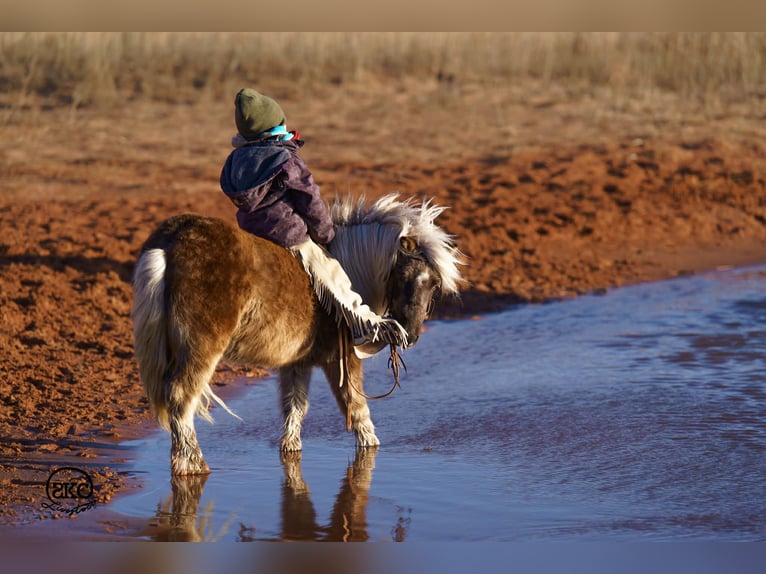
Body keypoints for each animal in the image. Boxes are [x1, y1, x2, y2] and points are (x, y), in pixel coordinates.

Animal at [131, 194, 463, 475]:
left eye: (434, 284)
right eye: (406, 275)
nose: (412, 334)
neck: (351, 270)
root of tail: (171, 242)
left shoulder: (297, 362)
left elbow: (295, 405)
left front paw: (290, 449)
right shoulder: (341, 359)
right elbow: (356, 406)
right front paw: (371, 448)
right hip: (201, 348)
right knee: (181, 397)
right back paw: (193, 465)